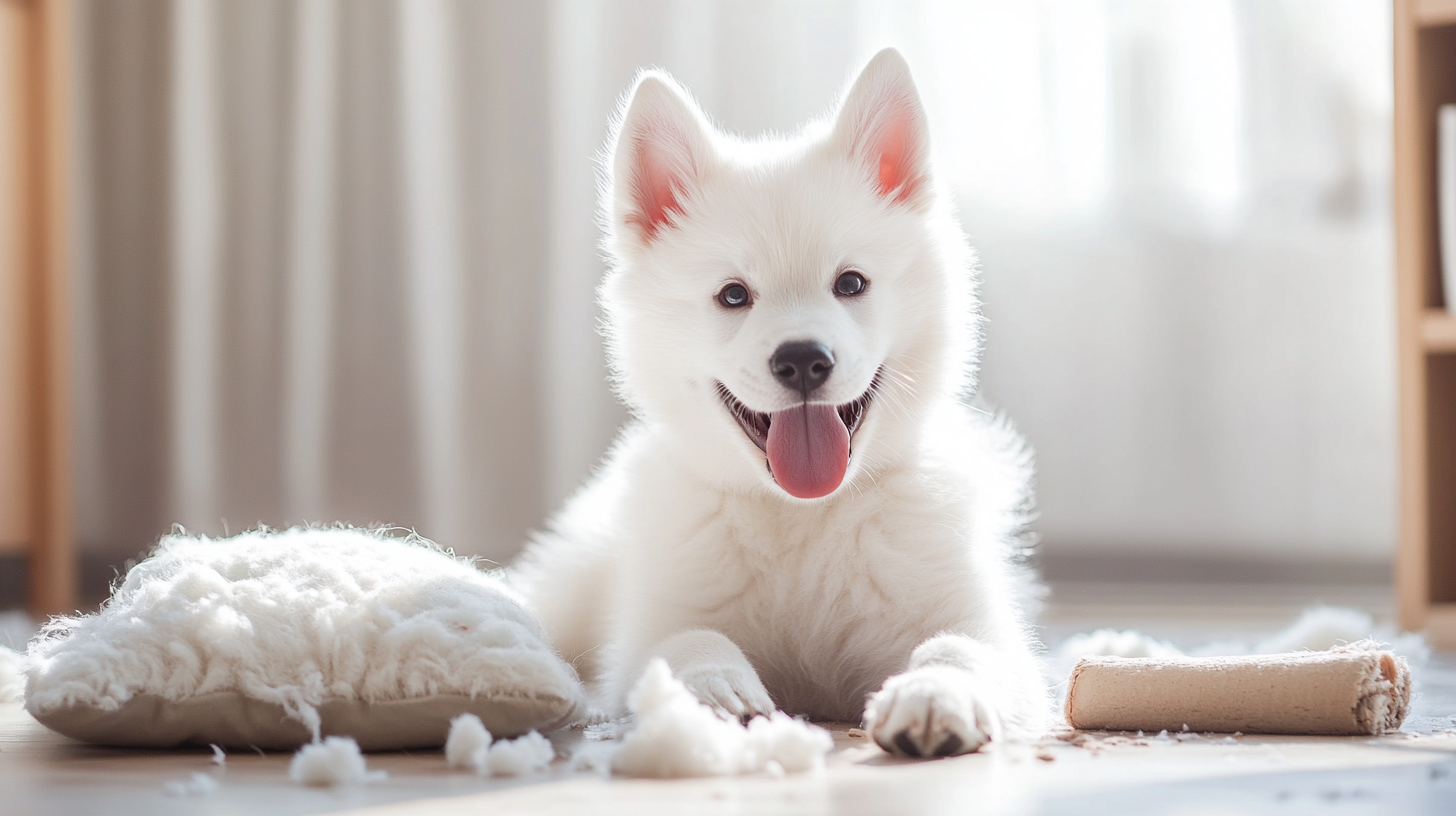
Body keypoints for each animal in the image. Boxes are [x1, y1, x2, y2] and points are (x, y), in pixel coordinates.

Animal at [512, 47, 1048, 757]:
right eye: (733, 295)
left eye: (851, 283)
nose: (802, 360)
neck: (804, 517)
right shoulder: (648, 627)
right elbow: (685, 640)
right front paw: (714, 689)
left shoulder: (984, 627)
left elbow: (958, 646)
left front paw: (934, 693)